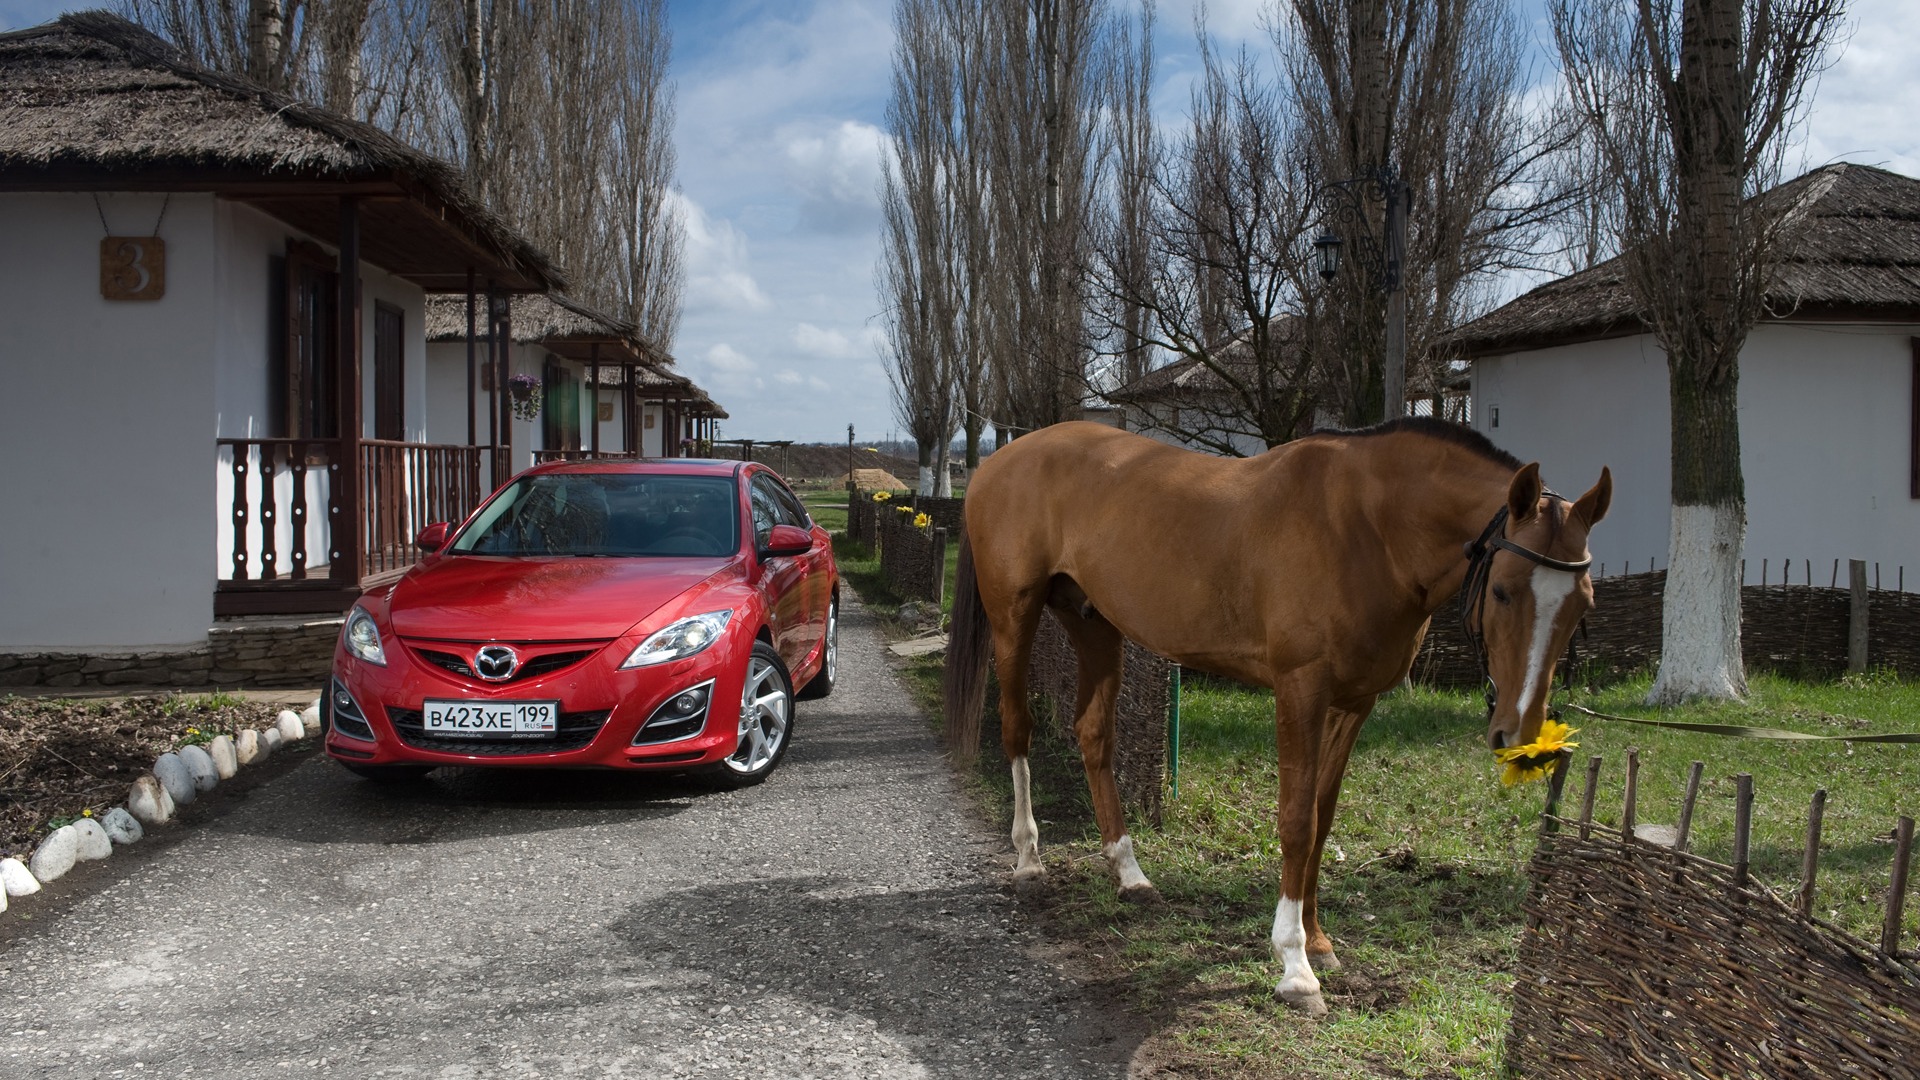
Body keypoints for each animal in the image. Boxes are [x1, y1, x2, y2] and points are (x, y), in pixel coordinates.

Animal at [944, 411, 1605, 1006]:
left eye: (1582, 604)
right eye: (1504, 591)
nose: (1522, 739)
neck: (1369, 527)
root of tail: (998, 460)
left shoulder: (1353, 703)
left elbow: (1322, 818)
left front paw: (1319, 941)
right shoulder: (1300, 691)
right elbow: (1295, 821)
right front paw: (1295, 964)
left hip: (1094, 624)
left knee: (1093, 736)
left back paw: (1129, 874)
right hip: (1014, 617)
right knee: (1017, 730)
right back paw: (1029, 859)